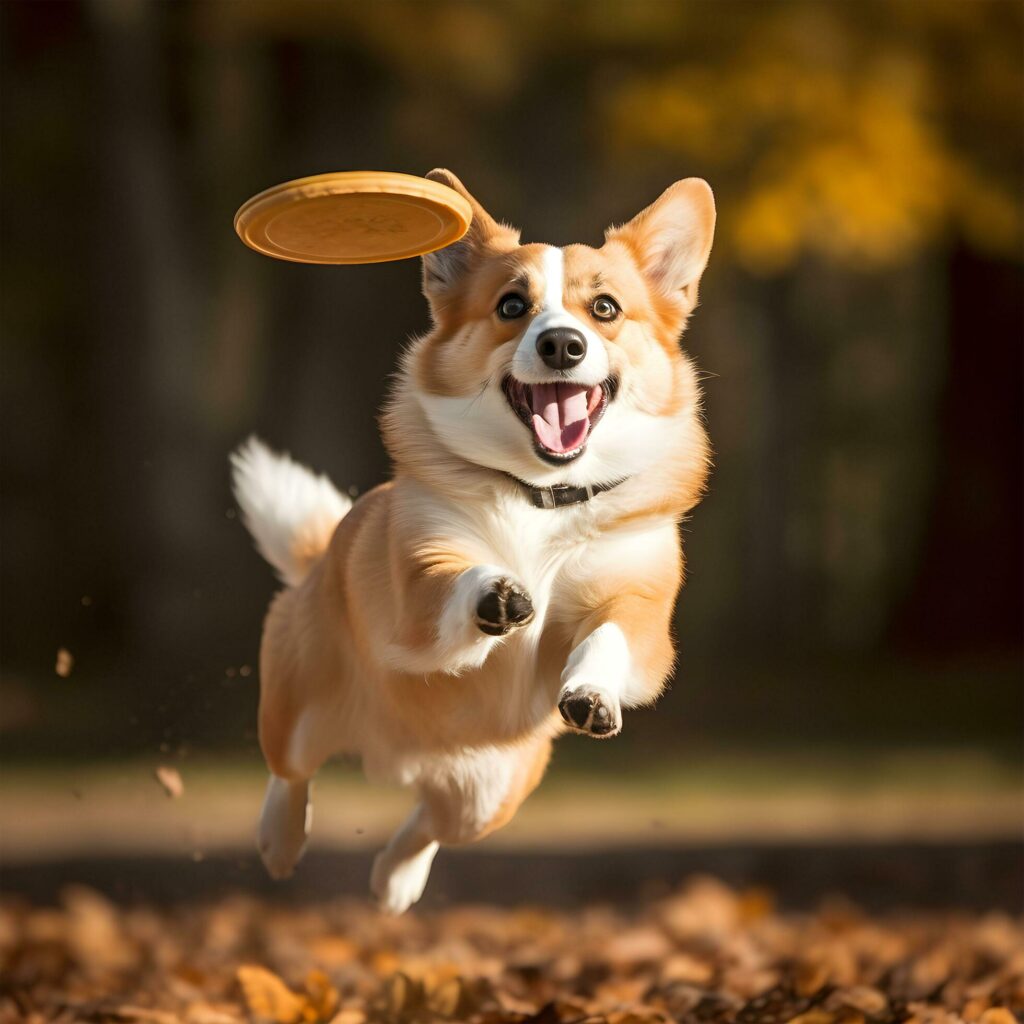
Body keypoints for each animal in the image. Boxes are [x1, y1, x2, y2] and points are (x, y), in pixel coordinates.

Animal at [231, 167, 712, 913]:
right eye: (512, 305)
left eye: (604, 309)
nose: (562, 345)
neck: (542, 497)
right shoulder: (423, 573)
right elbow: (454, 580)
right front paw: (499, 597)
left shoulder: (640, 609)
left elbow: (608, 637)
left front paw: (591, 694)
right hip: (297, 703)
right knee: (291, 773)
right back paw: (279, 840)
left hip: (491, 794)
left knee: (428, 824)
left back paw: (395, 883)